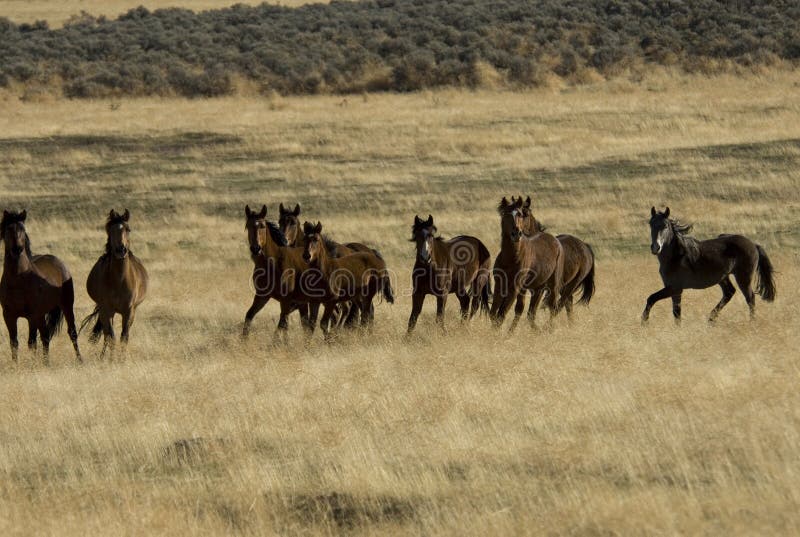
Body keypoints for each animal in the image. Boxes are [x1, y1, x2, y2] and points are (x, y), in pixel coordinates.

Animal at [0, 209, 82, 364]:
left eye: (23, 228)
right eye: (8, 228)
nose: (17, 249)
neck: (18, 280)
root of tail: (59, 263)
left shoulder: (32, 315)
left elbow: (32, 342)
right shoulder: (9, 315)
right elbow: (14, 342)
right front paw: (15, 364)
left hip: (66, 306)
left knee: (71, 333)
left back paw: (79, 359)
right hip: (42, 314)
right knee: (44, 336)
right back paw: (45, 362)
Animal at [81, 208, 150, 356]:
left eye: (128, 229)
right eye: (110, 230)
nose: (120, 250)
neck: (119, 280)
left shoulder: (129, 311)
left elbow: (124, 337)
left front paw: (121, 359)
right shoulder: (107, 310)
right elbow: (111, 337)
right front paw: (111, 359)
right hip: (106, 312)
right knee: (106, 335)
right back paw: (102, 356)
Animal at [488, 196, 564, 326]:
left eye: (520, 214)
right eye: (505, 214)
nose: (516, 233)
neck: (510, 258)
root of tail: (555, 241)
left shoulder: (515, 287)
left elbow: (502, 314)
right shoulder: (500, 284)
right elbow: (494, 314)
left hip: (552, 284)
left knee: (552, 307)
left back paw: (548, 328)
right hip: (538, 287)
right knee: (531, 312)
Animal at [644, 205, 776, 322]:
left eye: (665, 226)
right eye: (651, 224)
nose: (656, 247)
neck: (676, 256)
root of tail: (754, 244)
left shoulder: (675, 288)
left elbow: (652, 298)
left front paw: (644, 322)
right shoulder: (674, 290)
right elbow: (676, 313)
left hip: (743, 278)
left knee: (750, 298)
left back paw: (751, 322)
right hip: (723, 277)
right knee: (729, 292)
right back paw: (711, 319)